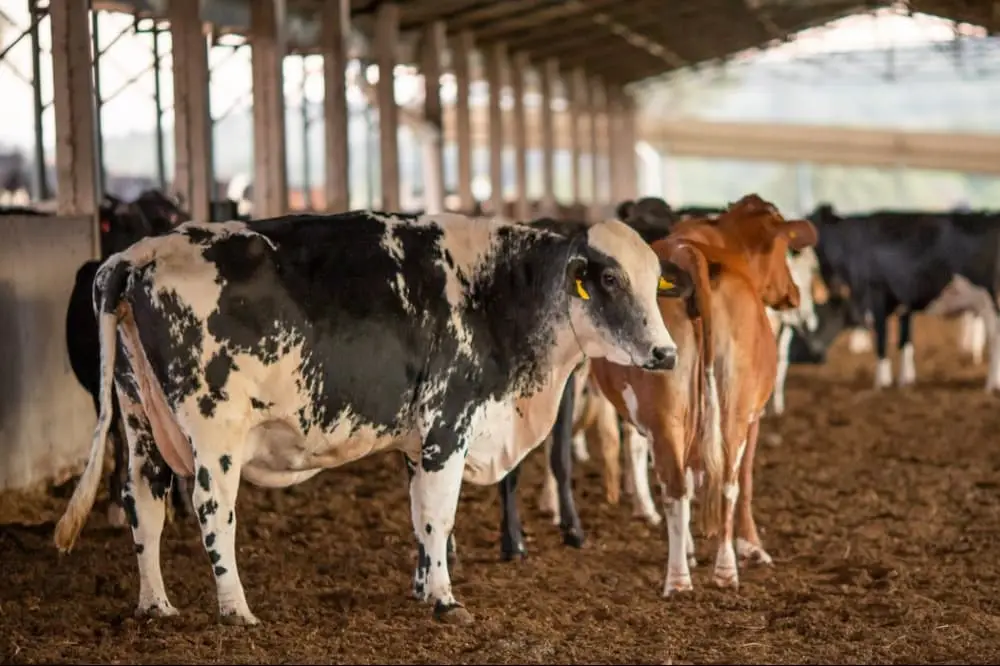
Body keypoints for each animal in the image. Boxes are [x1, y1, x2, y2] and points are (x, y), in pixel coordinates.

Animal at [590, 195, 818, 595]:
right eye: (782, 251)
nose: (793, 294)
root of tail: (689, 254)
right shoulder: (753, 416)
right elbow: (745, 481)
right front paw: (752, 546)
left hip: (674, 414)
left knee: (692, 483)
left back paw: (704, 572)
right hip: (727, 412)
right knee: (715, 483)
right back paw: (693, 575)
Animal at [810, 204, 1000, 391]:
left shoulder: (876, 294)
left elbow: (882, 338)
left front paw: (881, 384)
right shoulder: (904, 302)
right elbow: (904, 340)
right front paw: (905, 382)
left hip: (987, 297)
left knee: (994, 335)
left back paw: (992, 385)